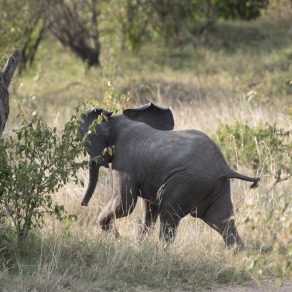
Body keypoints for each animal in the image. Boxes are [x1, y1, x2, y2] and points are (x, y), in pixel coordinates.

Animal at [78, 102, 258, 249]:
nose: (83, 204)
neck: (117, 121)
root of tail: (223, 167)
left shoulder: (125, 161)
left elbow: (125, 203)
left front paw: (121, 240)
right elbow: (149, 208)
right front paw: (137, 245)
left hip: (187, 183)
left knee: (169, 215)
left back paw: (161, 253)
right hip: (216, 186)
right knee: (222, 221)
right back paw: (240, 257)